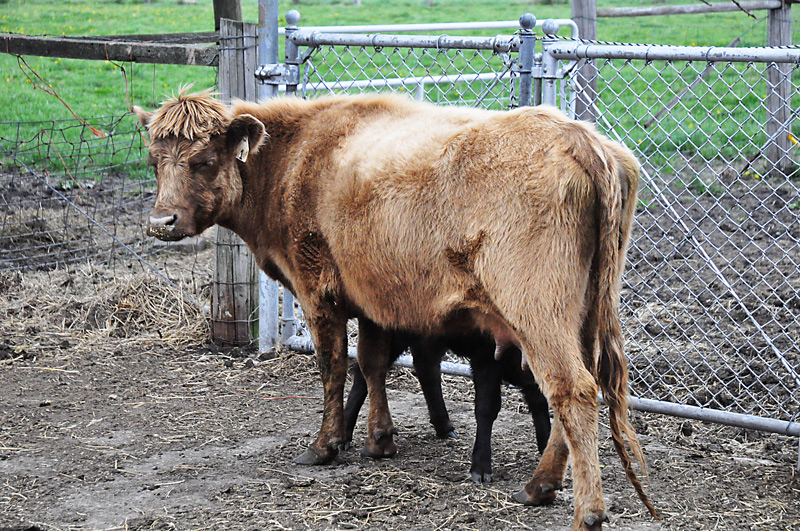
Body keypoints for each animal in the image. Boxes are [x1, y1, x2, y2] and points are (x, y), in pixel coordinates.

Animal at [343, 328, 552, 484]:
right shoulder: (486, 356)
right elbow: (487, 407)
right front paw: (481, 468)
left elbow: (539, 401)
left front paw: (546, 447)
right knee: (367, 371)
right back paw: (344, 434)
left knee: (426, 367)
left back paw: (444, 427)